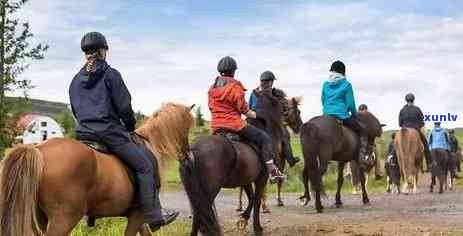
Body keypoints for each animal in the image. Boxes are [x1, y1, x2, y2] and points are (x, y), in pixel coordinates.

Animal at [0, 103, 195, 236]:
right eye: (186, 128)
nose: (190, 157)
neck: (149, 145)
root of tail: (38, 149)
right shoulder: (138, 215)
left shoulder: (137, 217)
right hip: (63, 220)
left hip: (41, 218)